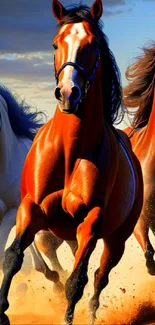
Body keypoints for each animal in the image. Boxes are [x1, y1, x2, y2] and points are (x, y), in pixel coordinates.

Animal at [0, 0, 143, 324]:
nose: (68, 93)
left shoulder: (91, 222)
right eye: (55, 44)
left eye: (93, 45)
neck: (71, 150)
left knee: (99, 277)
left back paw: (90, 313)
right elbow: (12, 257)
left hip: (116, 238)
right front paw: (2, 311)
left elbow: (77, 282)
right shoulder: (31, 208)